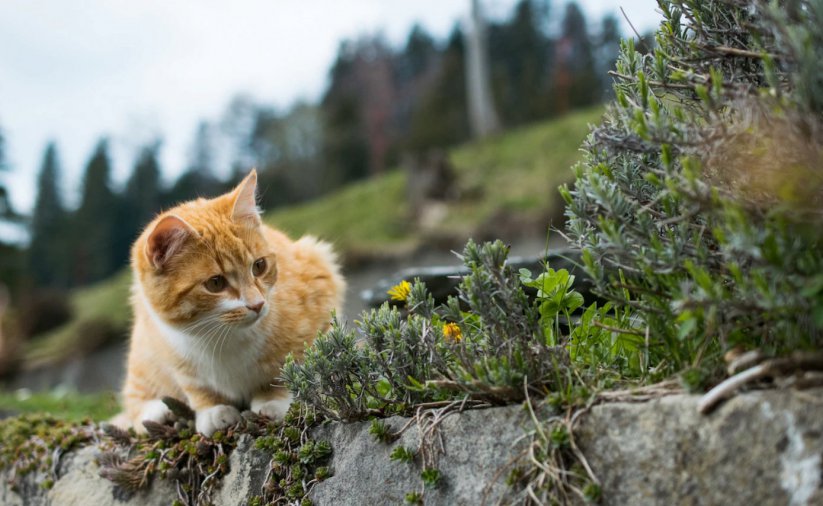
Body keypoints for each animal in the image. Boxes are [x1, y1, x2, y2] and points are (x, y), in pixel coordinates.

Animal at [114, 170, 342, 434]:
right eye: (215, 283)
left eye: (259, 266)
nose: (257, 304)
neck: (220, 335)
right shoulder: (172, 350)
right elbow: (196, 386)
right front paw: (213, 409)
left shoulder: (319, 292)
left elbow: (288, 365)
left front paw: (274, 400)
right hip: (143, 353)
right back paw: (158, 412)